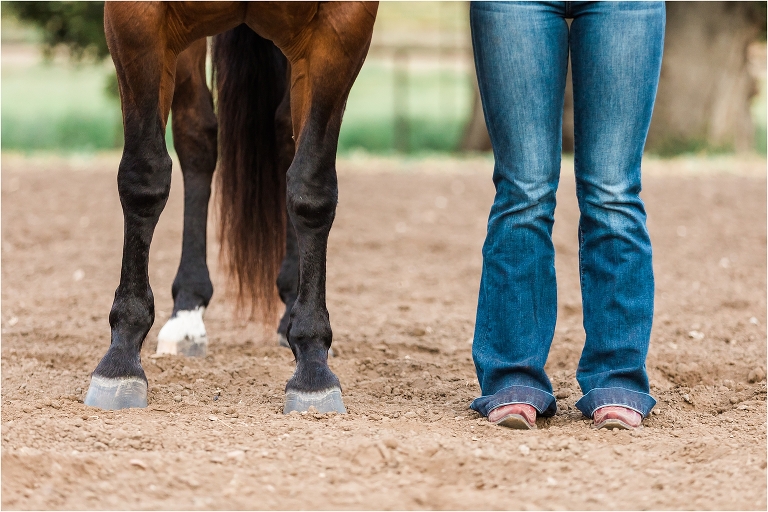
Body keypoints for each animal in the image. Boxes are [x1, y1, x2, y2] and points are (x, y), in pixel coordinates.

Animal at [83, 1, 378, 415]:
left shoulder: (343, 26)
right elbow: (144, 177)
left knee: (284, 135)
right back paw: (187, 312)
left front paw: (312, 369)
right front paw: (120, 360)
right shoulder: (136, 19)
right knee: (197, 136)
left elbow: (311, 188)